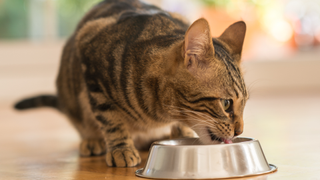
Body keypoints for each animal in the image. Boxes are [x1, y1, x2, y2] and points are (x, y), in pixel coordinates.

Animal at [15, 0, 248, 168]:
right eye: (226, 104)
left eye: (244, 103)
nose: (239, 131)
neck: (160, 112)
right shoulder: (92, 64)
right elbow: (111, 120)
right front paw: (121, 149)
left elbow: (181, 127)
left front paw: (181, 135)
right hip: (71, 93)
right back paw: (93, 140)